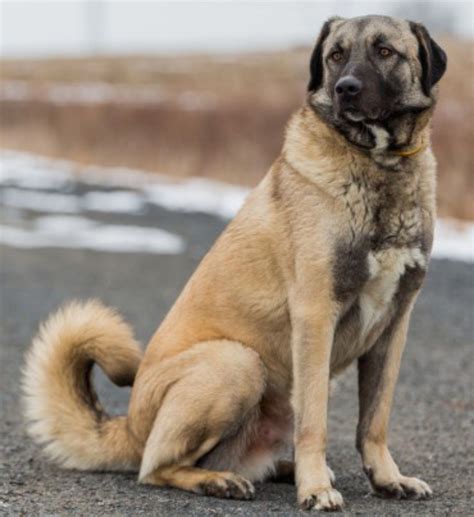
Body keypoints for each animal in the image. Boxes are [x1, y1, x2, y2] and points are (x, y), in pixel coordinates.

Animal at [23, 14, 448, 510]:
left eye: (384, 51)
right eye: (336, 56)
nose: (346, 89)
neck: (378, 163)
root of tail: (129, 426)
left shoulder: (393, 326)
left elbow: (374, 421)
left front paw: (387, 479)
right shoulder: (315, 316)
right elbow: (315, 423)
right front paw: (315, 489)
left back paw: (282, 469)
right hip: (236, 362)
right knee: (155, 467)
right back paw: (223, 480)